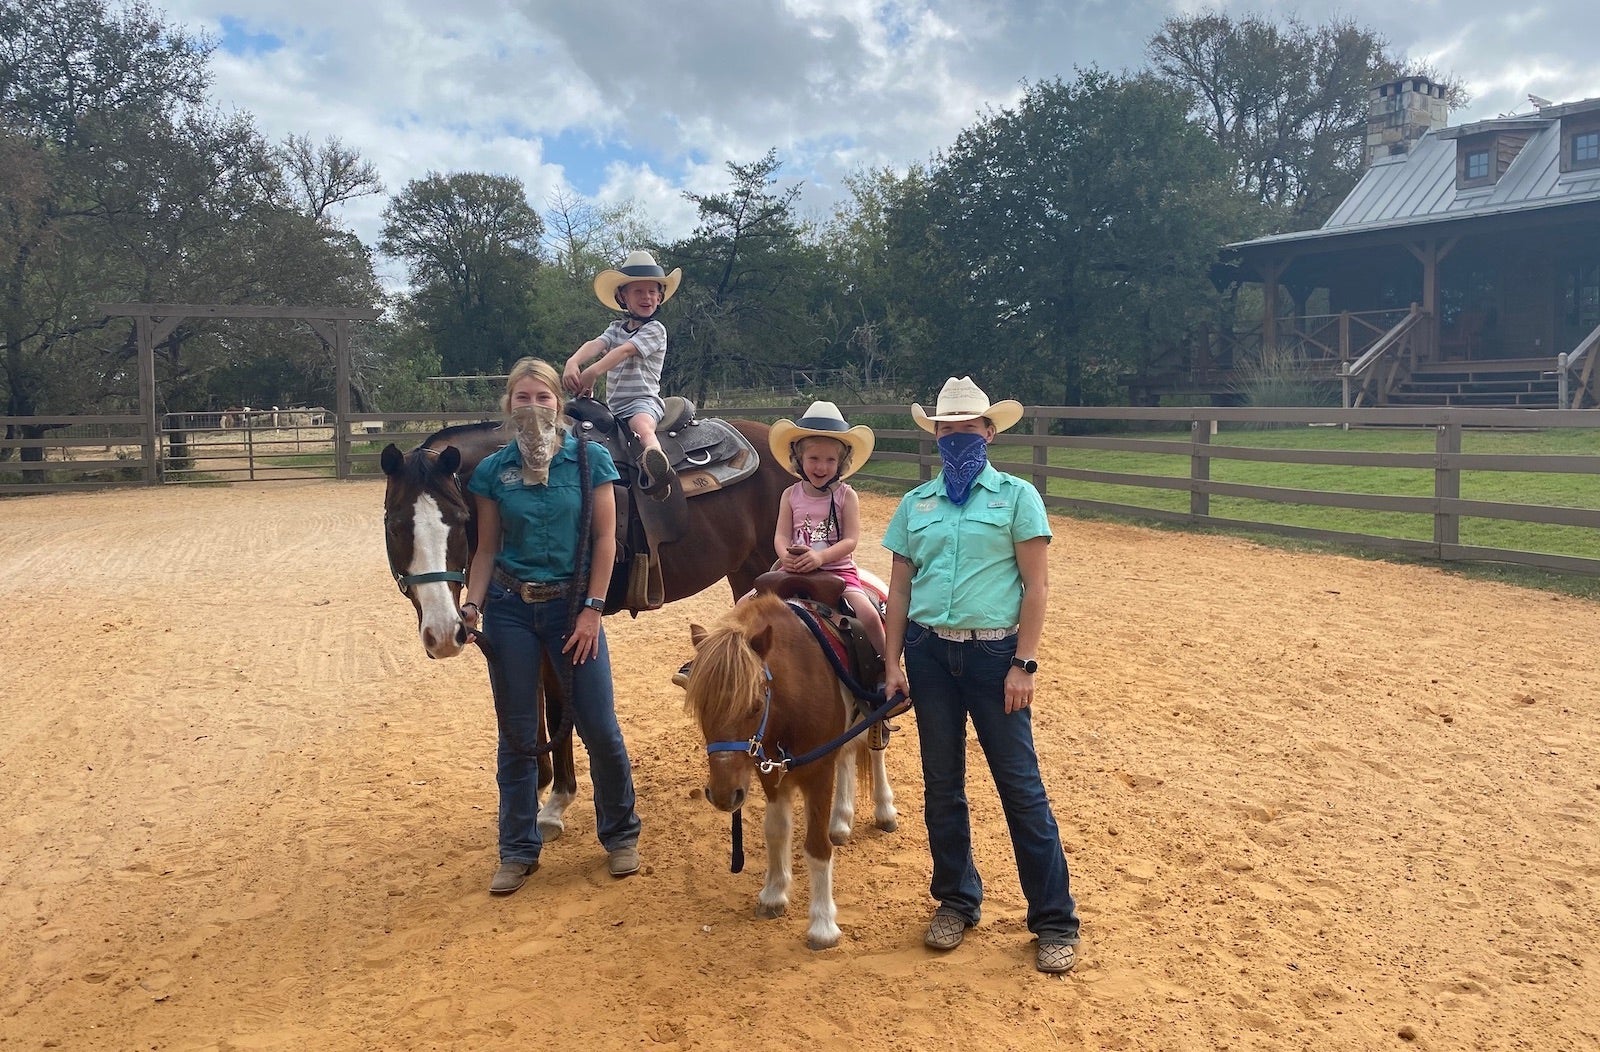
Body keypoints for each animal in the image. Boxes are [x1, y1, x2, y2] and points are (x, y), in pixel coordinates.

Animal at [380, 414, 791, 839]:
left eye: (460, 522)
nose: (444, 634)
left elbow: (558, 707)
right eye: (394, 526)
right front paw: (538, 786)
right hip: (743, 573)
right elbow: (531, 703)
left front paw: (556, 803)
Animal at [684, 593, 899, 949]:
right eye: (702, 706)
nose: (724, 795)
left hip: (877, 710)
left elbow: (817, 848)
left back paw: (884, 810)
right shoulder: (770, 772)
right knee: (847, 757)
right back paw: (841, 821)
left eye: (755, 706)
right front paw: (773, 894)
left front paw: (823, 925)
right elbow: (776, 830)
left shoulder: (818, 773)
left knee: (873, 752)